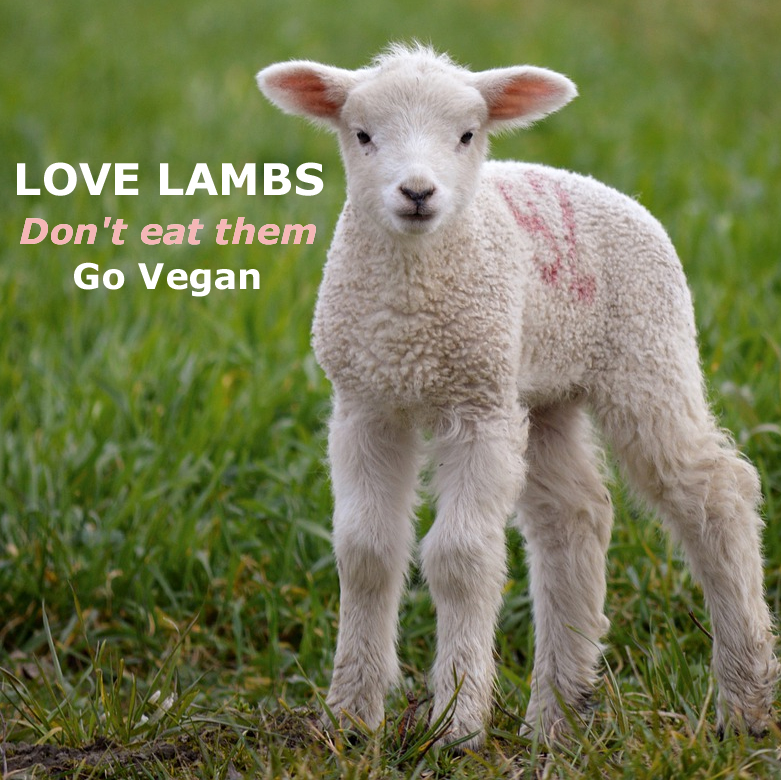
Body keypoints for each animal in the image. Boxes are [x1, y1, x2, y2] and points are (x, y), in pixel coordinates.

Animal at [256, 43, 778, 749]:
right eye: (362, 135)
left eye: (467, 135)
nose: (417, 192)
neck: (410, 314)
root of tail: (604, 189)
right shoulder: (366, 403)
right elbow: (366, 551)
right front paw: (350, 717)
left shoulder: (479, 407)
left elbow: (460, 557)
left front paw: (456, 724)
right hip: (544, 392)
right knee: (576, 517)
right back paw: (558, 715)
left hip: (646, 353)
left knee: (715, 492)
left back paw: (745, 700)